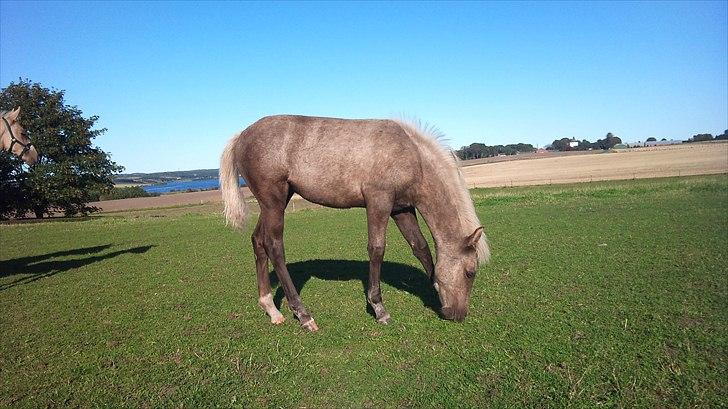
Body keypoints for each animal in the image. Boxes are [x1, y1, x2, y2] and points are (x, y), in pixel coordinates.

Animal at [218, 113, 490, 330]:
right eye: (470, 272)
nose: (458, 314)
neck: (410, 154)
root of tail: (241, 136)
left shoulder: (401, 209)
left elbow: (420, 247)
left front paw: (433, 287)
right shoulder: (378, 201)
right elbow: (377, 248)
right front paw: (379, 308)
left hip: (276, 202)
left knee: (258, 241)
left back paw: (271, 308)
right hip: (273, 202)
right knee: (274, 246)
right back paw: (303, 314)